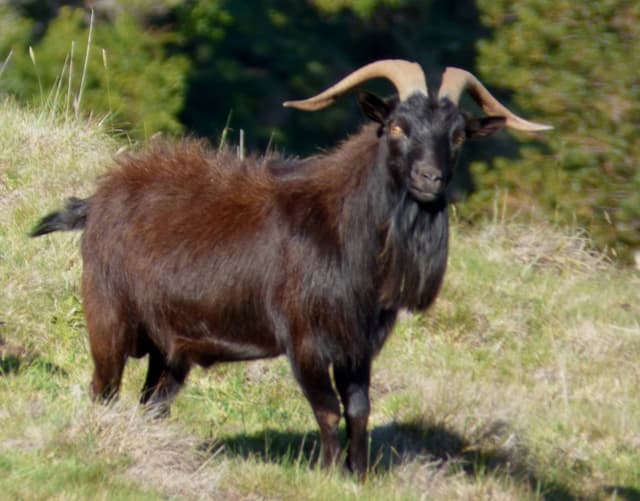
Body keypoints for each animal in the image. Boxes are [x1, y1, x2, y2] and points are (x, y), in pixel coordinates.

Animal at [31, 60, 551, 477]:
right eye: (398, 127)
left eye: (458, 134)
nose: (430, 179)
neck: (344, 228)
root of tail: (95, 202)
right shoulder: (305, 338)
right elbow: (327, 409)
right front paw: (329, 474)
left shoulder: (358, 344)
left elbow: (359, 408)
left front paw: (360, 476)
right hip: (109, 316)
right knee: (104, 388)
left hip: (169, 346)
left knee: (152, 401)